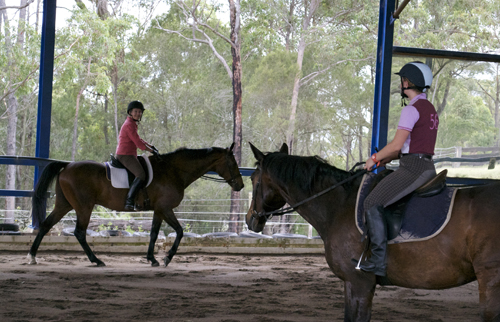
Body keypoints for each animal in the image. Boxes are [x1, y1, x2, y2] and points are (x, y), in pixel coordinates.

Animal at [29, 143, 244, 266]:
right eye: (233, 163)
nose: (241, 185)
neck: (173, 171)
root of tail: (66, 165)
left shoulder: (159, 210)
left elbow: (154, 233)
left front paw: (152, 259)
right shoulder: (165, 208)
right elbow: (180, 231)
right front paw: (167, 258)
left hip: (64, 205)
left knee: (46, 225)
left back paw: (32, 256)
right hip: (84, 207)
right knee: (79, 233)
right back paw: (96, 260)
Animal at [247, 143, 500, 322]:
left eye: (252, 178)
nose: (251, 219)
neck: (339, 205)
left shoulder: (360, 282)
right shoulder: (351, 283)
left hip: (490, 280)